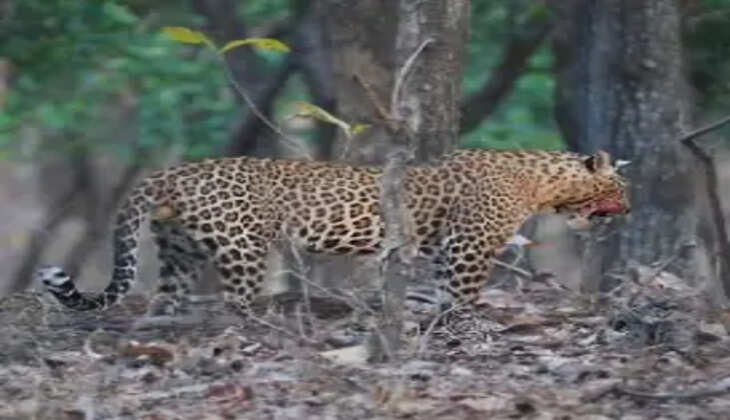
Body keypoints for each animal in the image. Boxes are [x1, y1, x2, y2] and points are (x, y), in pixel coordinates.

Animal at [37, 149, 630, 315]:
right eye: (620, 188)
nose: (628, 210)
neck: (542, 181)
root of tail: (167, 173)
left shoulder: (441, 246)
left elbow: (437, 285)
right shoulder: (468, 244)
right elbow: (462, 289)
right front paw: (462, 320)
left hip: (179, 248)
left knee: (169, 295)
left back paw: (166, 322)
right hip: (242, 244)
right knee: (235, 299)